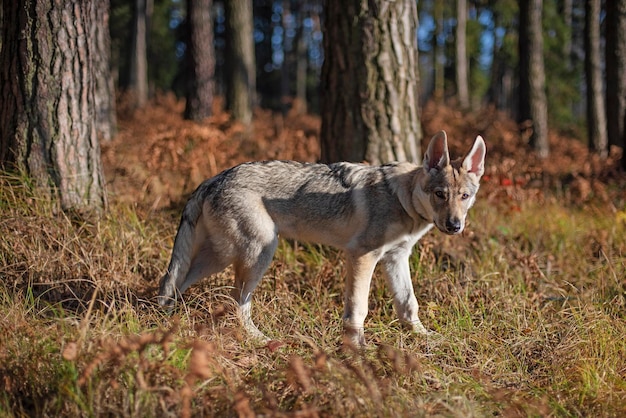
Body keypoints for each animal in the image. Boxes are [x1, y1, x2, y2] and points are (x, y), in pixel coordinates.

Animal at [156, 131, 482, 346]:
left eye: (464, 197)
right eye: (440, 194)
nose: (455, 225)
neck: (402, 199)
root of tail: (213, 178)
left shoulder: (396, 258)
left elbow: (408, 303)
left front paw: (424, 337)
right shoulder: (362, 256)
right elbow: (359, 309)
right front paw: (356, 349)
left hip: (220, 257)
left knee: (173, 280)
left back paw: (171, 321)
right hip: (255, 255)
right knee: (235, 302)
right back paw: (259, 339)